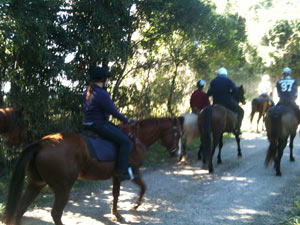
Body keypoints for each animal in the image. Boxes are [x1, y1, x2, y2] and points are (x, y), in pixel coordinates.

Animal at [3, 117, 182, 224]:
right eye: (178, 134)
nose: (178, 155)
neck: (136, 139)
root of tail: (41, 144)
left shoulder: (117, 176)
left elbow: (116, 194)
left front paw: (117, 214)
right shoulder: (134, 170)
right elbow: (143, 187)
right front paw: (135, 206)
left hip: (36, 183)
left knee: (21, 209)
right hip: (62, 188)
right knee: (55, 213)